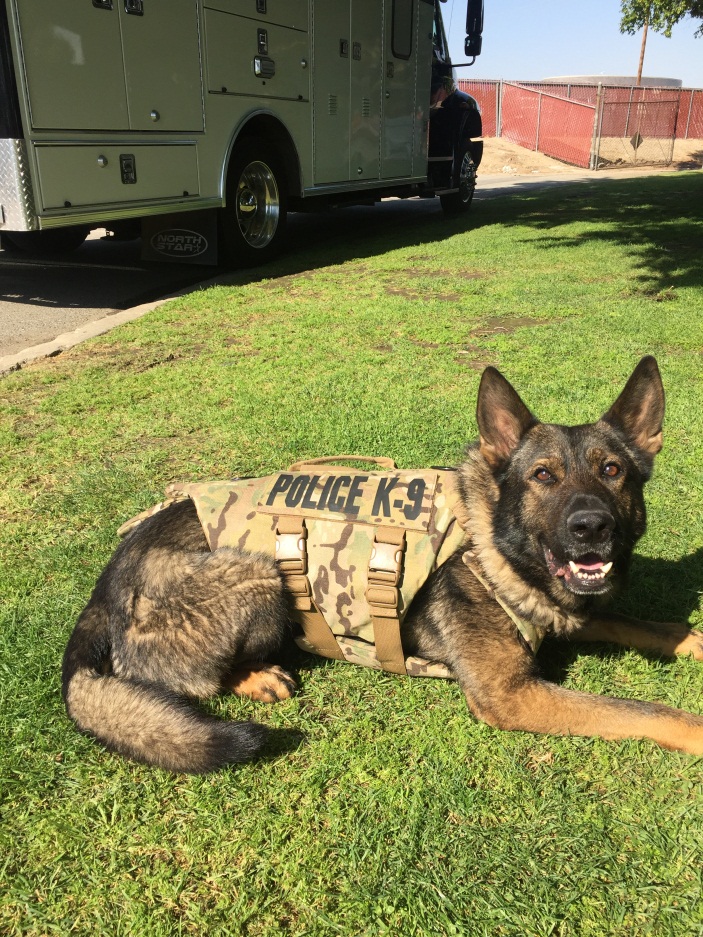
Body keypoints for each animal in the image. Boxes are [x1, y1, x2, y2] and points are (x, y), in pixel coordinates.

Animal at [62, 354, 703, 772]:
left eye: (612, 471)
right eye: (543, 476)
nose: (591, 527)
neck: (491, 541)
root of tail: (106, 585)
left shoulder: (570, 613)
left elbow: (643, 624)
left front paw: (691, 638)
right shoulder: (511, 693)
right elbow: (647, 710)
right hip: (260, 574)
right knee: (198, 677)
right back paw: (257, 676)